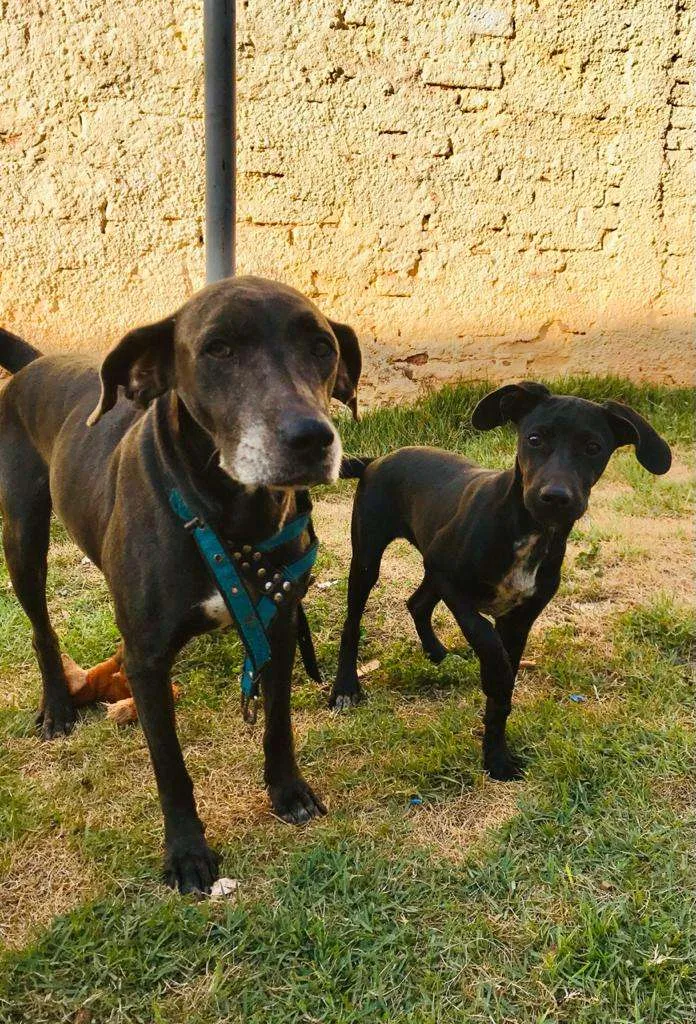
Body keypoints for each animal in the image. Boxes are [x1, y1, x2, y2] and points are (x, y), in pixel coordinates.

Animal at [0, 276, 358, 892]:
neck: (225, 514)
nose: (311, 438)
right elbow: (169, 765)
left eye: (322, 347)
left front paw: (288, 791)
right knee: (41, 628)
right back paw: (58, 707)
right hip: (22, 535)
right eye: (218, 349)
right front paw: (187, 851)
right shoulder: (146, 659)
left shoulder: (280, 624)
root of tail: (37, 362)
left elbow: (279, 723)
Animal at [329, 382, 671, 774]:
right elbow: (485, 637)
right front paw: (498, 674)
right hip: (369, 558)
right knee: (353, 622)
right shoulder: (454, 585)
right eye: (534, 439)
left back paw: (437, 653)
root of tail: (377, 460)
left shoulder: (519, 618)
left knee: (417, 603)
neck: (527, 530)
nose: (555, 497)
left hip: (428, 566)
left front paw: (495, 757)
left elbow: (500, 699)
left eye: (593, 448)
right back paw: (345, 688)